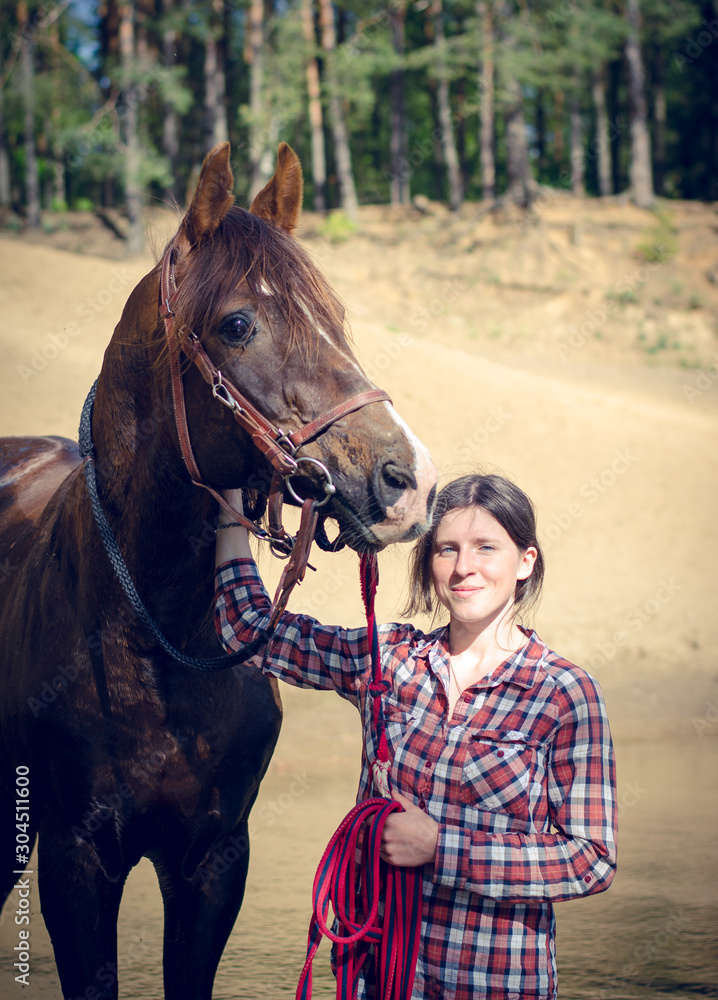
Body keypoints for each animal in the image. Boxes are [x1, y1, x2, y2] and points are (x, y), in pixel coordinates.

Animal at [0, 142, 437, 1000]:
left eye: (336, 319)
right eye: (238, 324)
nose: (405, 479)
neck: (155, 634)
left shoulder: (214, 859)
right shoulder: (73, 862)